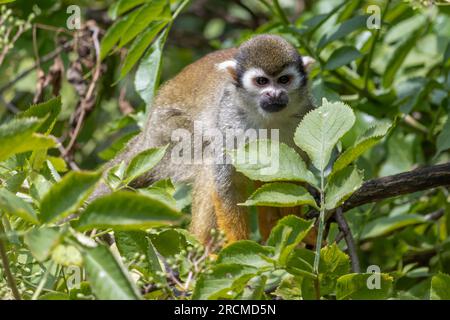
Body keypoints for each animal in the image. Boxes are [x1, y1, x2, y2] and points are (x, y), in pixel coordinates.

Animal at [95, 35, 312, 244]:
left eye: (284, 80)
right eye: (261, 81)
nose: (275, 94)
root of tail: (149, 131)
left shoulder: (303, 115)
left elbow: (290, 177)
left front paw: (296, 228)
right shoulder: (230, 120)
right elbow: (225, 185)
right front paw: (236, 245)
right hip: (168, 135)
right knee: (208, 160)